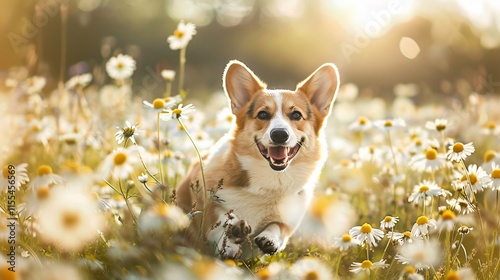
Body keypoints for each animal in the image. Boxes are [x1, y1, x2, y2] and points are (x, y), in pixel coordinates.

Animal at [176, 60, 340, 260]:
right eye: (262, 115)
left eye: (296, 115)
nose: (279, 134)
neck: (271, 181)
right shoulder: (203, 196)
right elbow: (219, 219)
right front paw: (230, 239)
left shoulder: (289, 220)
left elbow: (278, 227)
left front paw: (269, 238)